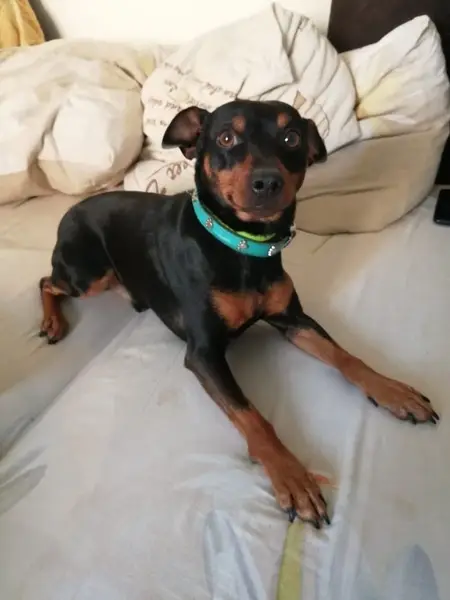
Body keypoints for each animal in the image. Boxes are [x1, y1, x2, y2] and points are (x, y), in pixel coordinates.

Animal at [39, 100, 439, 528]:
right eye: (227, 137)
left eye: (291, 137)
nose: (267, 182)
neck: (245, 245)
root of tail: (73, 208)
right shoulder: (203, 353)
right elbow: (252, 416)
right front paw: (293, 476)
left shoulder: (293, 319)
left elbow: (345, 356)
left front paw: (393, 390)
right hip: (86, 275)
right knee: (46, 281)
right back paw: (53, 322)